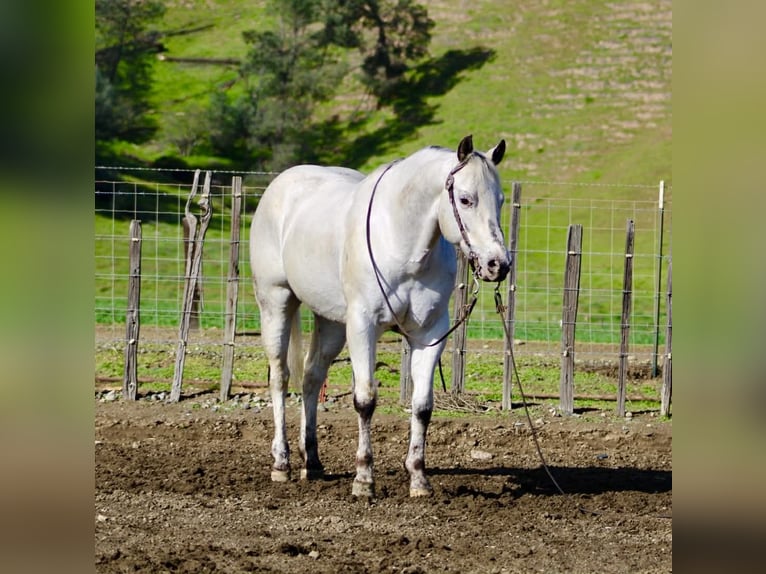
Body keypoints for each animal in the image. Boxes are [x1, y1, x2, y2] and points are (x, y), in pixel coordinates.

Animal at [249, 135, 510, 497]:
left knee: (312, 378)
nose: (498, 264)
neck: (403, 243)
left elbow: (422, 406)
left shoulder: (430, 334)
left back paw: (312, 462)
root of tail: (279, 185)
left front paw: (419, 479)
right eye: (465, 199)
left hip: (331, 322)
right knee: (280, 378)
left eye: (500, 200)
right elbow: (365, 400)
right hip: (276, 302)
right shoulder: (363, 326)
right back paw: (281, 463)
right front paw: (364, 480)